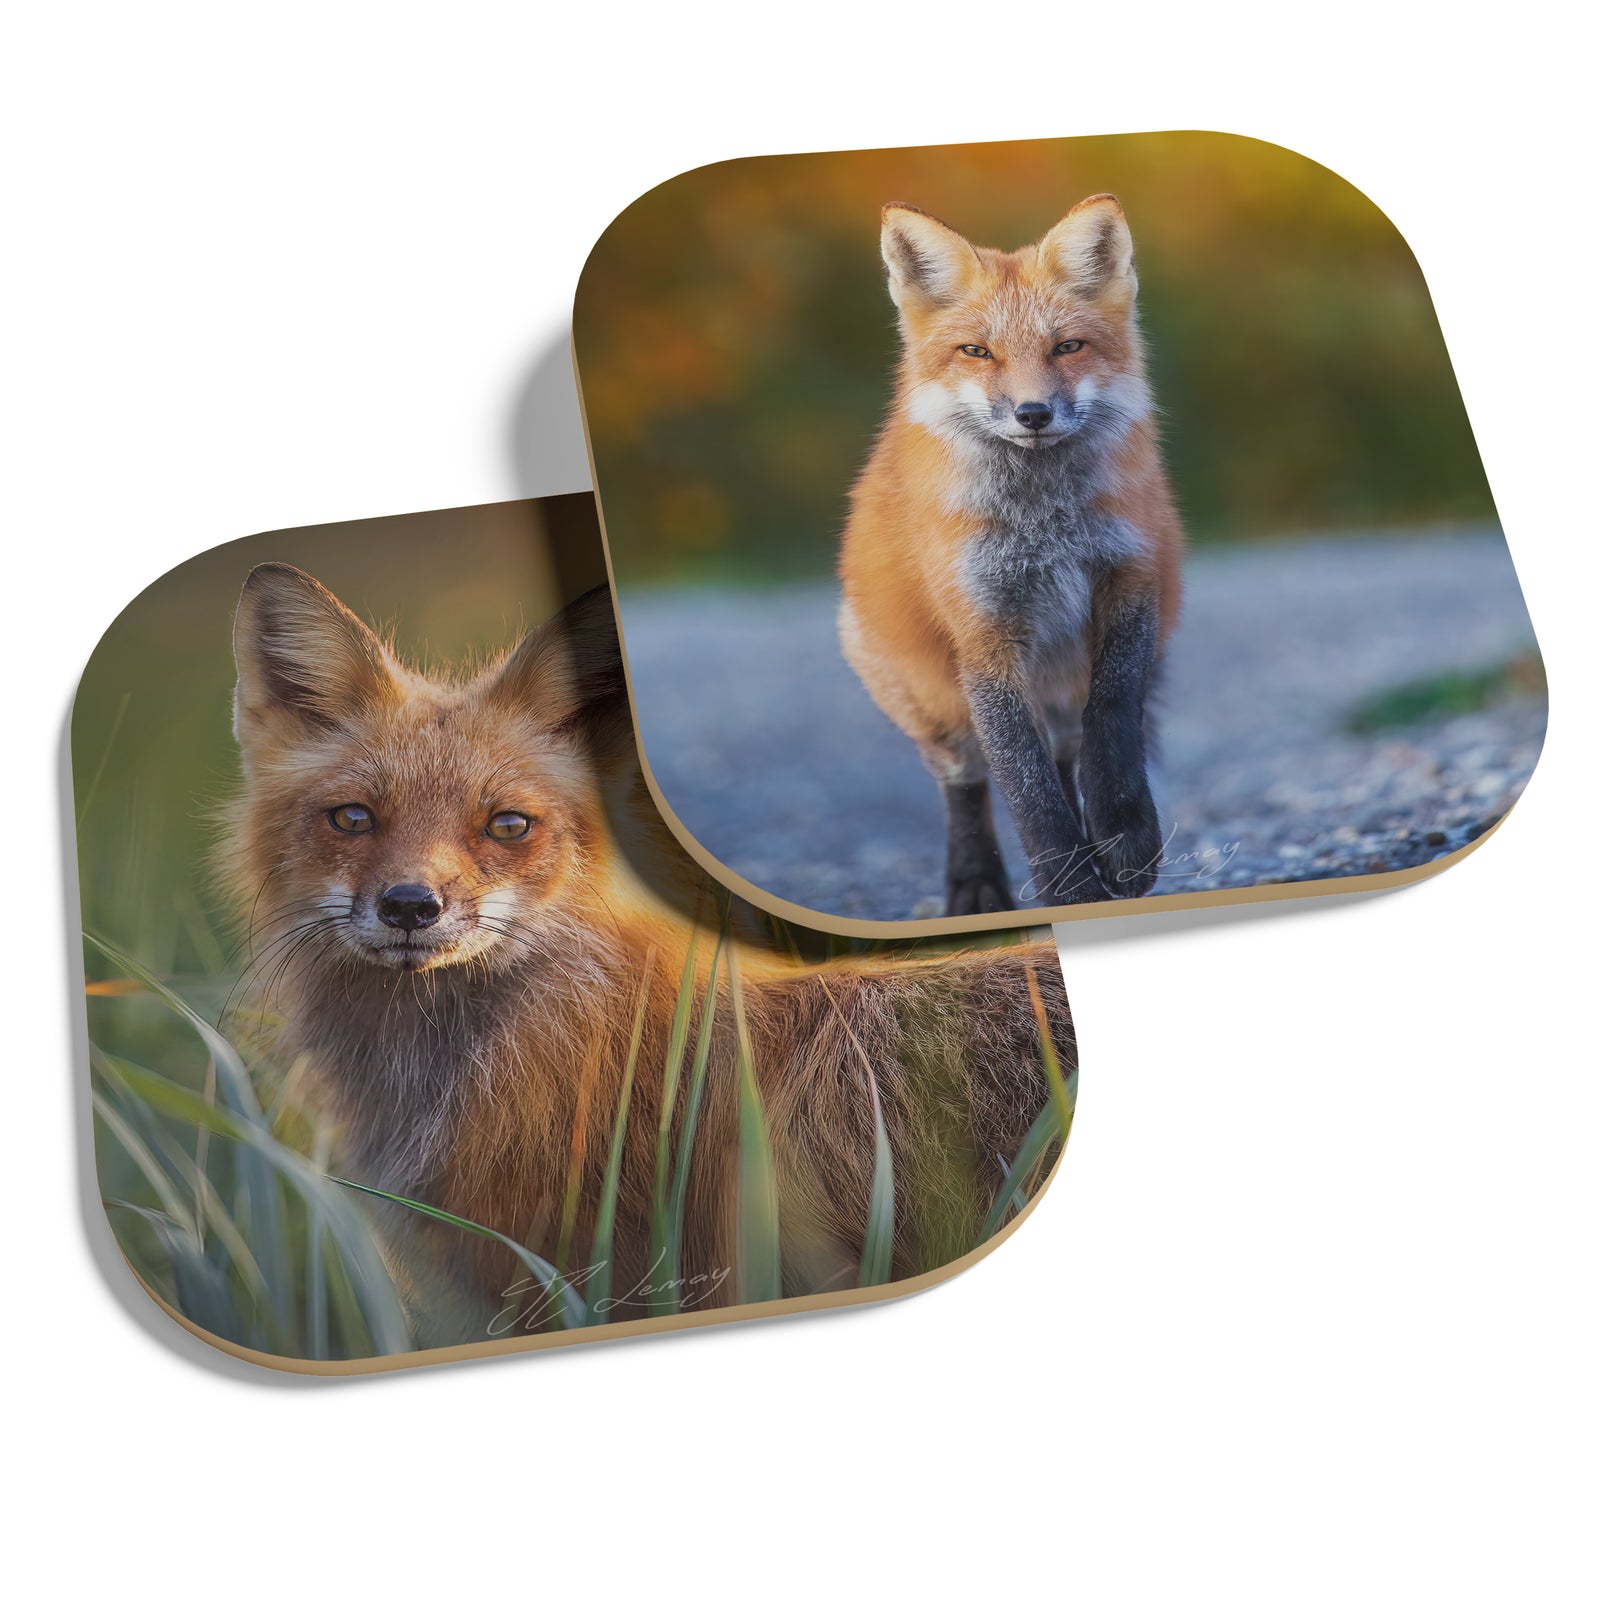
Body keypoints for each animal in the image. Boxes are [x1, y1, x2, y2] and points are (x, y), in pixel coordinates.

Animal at [839, 194, 1184, 914]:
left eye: (1067, 346)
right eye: (978, 352)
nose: (1033, 413)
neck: (1043, 523)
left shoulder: (1131, 578)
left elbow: (1112, 716)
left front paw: (1125, 836)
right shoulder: (983, 633)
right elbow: (1024, 780)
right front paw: (1069, 889)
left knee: (1071, 747)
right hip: (928, 702)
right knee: (966, 780)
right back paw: (976, 887)